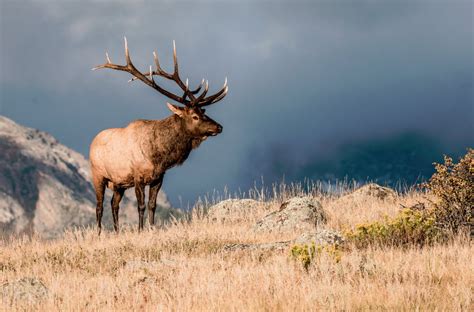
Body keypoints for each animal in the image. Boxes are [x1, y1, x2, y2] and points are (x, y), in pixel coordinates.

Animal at [91, 37, 230, 233]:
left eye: (204, 112)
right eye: (195, 116)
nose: (219, 127)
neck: (158, 156)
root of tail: (93, 141)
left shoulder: (158, 178)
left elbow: (152, 205)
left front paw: (152, 228)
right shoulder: (137, 176)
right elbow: (141, 206)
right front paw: (140, 230)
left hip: (119, 183)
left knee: (113, 204)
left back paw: (117, 232)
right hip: (98, 175)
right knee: (99, 206)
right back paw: (99, 234)